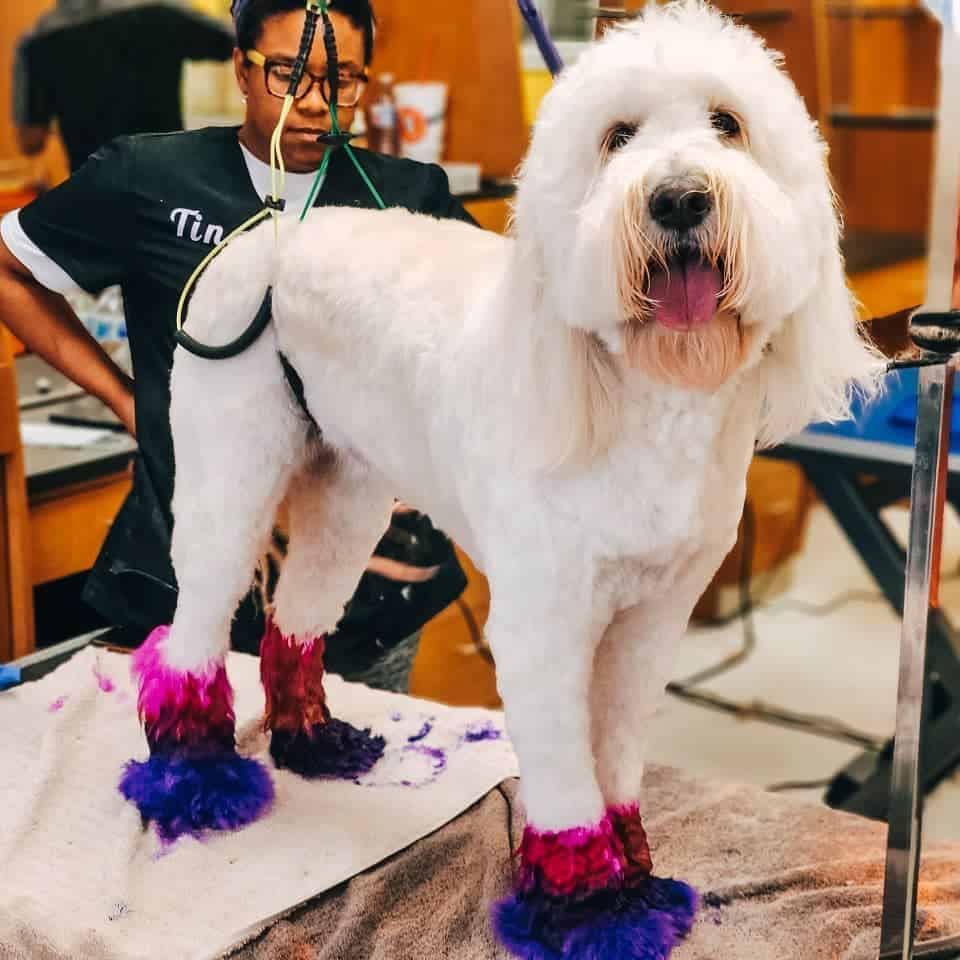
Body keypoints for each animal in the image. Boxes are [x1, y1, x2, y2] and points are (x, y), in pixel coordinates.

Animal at [125, 3, 884, 956]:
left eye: (728, 124)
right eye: (617, 138)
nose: (679, 198)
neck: (645, 396)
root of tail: (275, 227)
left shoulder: (652, 618)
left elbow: (616, 754)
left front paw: (635, 879)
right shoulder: (543, 621)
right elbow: (565, 780)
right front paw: (590, 910)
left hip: (348, 495)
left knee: (295, 622)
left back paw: (313, 741)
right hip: (232, 464)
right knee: (191, 629)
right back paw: (195, 781)